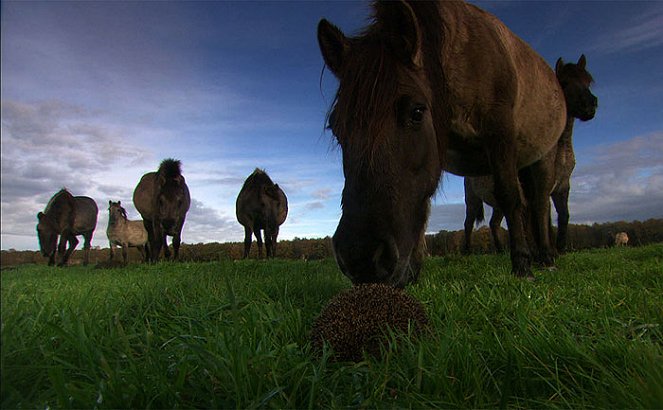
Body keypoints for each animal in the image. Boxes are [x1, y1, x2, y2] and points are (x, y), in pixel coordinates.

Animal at [464, 55, 600, 256]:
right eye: (565, 82)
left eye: (587, 81)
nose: (590, 104)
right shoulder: (537, 188)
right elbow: (538, 215)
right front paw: (544, 253)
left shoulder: (561, 187)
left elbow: (562, 216)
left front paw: (558, 249)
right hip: (473, 200)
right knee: (468, 223)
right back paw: (466, 252)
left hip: (498, 204)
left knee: (494, 223)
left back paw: (501, 250)